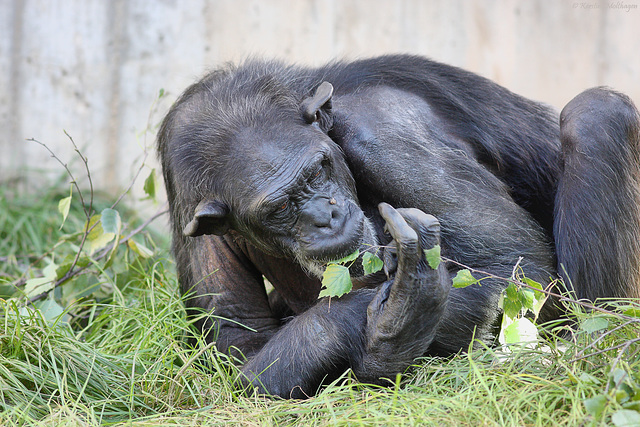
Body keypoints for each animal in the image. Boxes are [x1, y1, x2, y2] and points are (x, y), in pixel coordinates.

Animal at [156, 55, 640, 400]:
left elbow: (521, 270)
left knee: (595, 115)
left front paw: (399, 312)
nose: (325, 217)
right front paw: (390, 322)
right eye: (279, 208)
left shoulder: (384, 130)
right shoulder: (187, 197)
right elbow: (239, 346)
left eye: (316, 171)